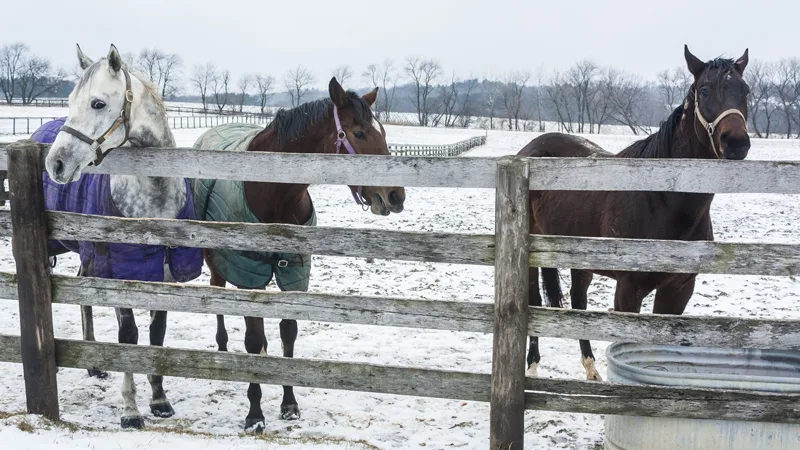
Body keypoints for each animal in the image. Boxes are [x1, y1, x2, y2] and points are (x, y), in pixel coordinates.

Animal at [44, 44, 203, 428]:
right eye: (70, 100)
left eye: (98, 103)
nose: (55, 164)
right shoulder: (119, 276)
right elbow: (128, 336)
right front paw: (130, 410)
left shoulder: (164, 277)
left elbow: (157, 334)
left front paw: (159, 399)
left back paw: (93, 363)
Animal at [195, 78, 406, 432]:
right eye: (359, 133)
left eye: (383, 132)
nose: (396, 196)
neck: (271, 189)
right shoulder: (249, 277)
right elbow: (253, 339)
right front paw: (255, 414)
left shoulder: (295, 273)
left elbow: (288, 335)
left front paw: (289, 403)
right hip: (218, 263)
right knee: (218, 295)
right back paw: (223, 349)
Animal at [520, 46, 752, 380]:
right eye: (705, 90)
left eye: (745, 90)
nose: (736, 142)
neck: (661, 199)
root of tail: (530, 149)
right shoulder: (629, 290)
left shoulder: (678, 292)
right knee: (535, 301)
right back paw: (534, 365)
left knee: (578, 303)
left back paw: (590, 369)